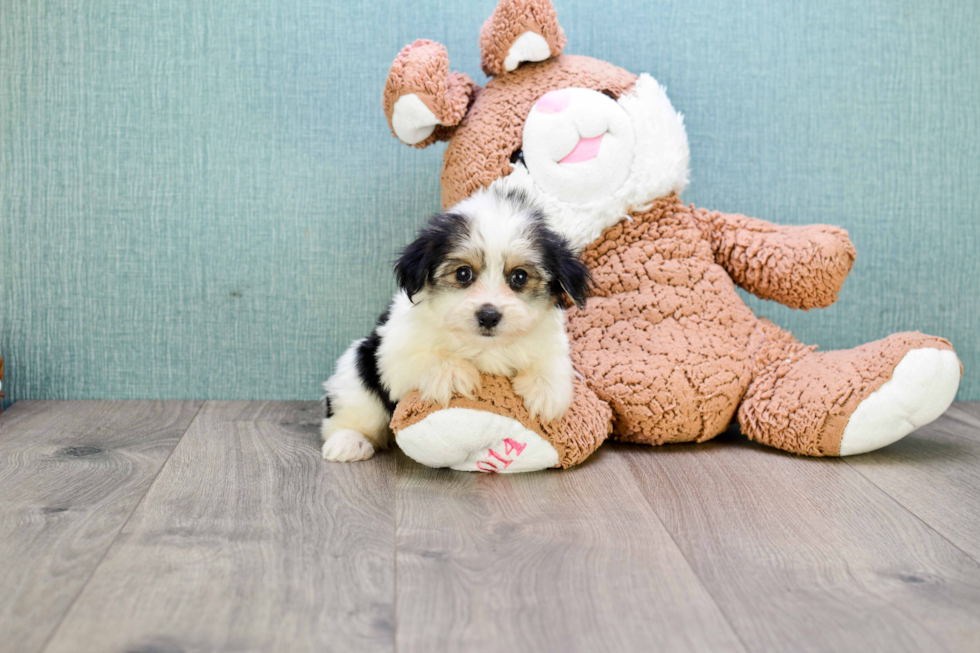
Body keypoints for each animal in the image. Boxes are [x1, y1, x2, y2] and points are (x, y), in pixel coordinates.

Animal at [326, 187, 592, 464]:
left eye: (519, 277)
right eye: (463, 273)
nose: (488, 315)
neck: (484, 345)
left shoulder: (549, 341)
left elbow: (552, 363)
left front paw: (546, 393)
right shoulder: (393, 352)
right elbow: (421, 358)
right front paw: (453, 375)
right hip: (357, 372)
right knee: (351, 414)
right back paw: (348, 442)